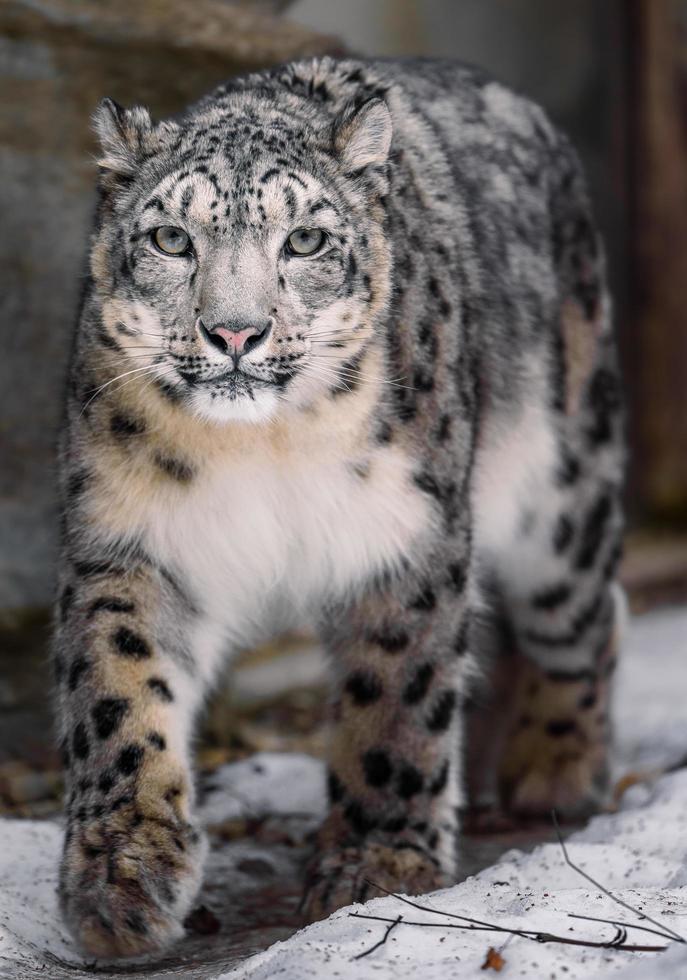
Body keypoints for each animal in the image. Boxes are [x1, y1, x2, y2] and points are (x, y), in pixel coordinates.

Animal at [52, 55, 624, 956]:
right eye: (171, 239)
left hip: (563, 489)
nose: (235, 333)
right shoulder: (133, 541)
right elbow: (119, 688)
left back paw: (553, 766)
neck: (262, 448)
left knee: (585, 613)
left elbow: (396, 692)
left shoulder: (403, 532)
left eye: (306, 240)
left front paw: (375, 863)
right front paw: (120, 880)